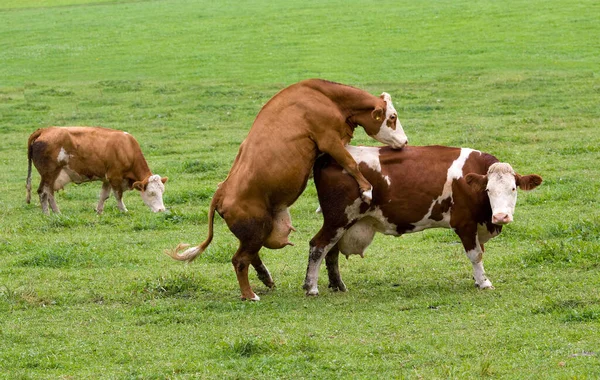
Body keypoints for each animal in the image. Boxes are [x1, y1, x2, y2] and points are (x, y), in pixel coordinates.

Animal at [26, 127, 168, 214]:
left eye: (162, 192)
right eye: (151, 193)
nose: (161, 210)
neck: (127, 148)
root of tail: (44, 130)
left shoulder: (107, 178)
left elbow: (104, 195)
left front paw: (99, 211)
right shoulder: (115, 176)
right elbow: (118, 195)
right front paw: (124, 210)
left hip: (47, 176)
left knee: (43, 193)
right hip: (50, 174)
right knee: (46, 193)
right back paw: (54, 213)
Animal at [164, 79, 408, 300]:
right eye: (392, 117)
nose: (405, 141)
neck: (326, 97)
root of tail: (221, 191)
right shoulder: (329, 140)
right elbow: (351, 163)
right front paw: (366, 188)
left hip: (255, 233)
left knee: (250, 256)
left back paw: (265, 278)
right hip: (257, 228)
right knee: (240, 260)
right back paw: (250, 294)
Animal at [302, 144, 540, 296]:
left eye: (513, 188)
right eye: (488, 190)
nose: (501, 216)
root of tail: (328, 157)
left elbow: (480, 253)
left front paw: (477, 279)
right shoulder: (465, 224)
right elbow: (476, 255)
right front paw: (484, 282)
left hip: (340, 222)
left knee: (330, 250)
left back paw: (337, 285)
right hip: (338, 219)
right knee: (318, 245)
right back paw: (311, 287)